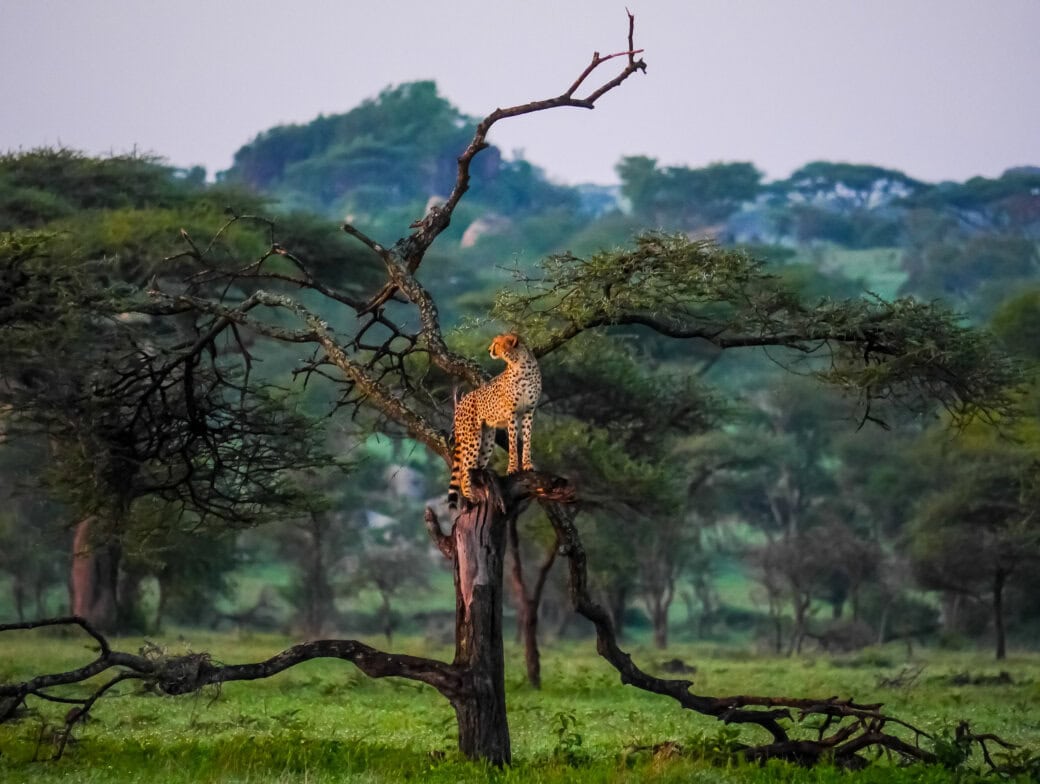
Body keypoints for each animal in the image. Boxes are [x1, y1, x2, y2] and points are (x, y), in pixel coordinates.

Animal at [447, 333, 541, 509]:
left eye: (497, 343)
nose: (489, 349)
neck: (520, 364)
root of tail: (461, 403)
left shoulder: (528, 412)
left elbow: (527, 440)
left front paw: (527, 465)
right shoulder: (512, 414)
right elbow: (512, 443)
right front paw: (512, 468)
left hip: (487, 441)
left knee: (474, 467)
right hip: (472, 439)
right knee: (464, 470)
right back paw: (470, 497)